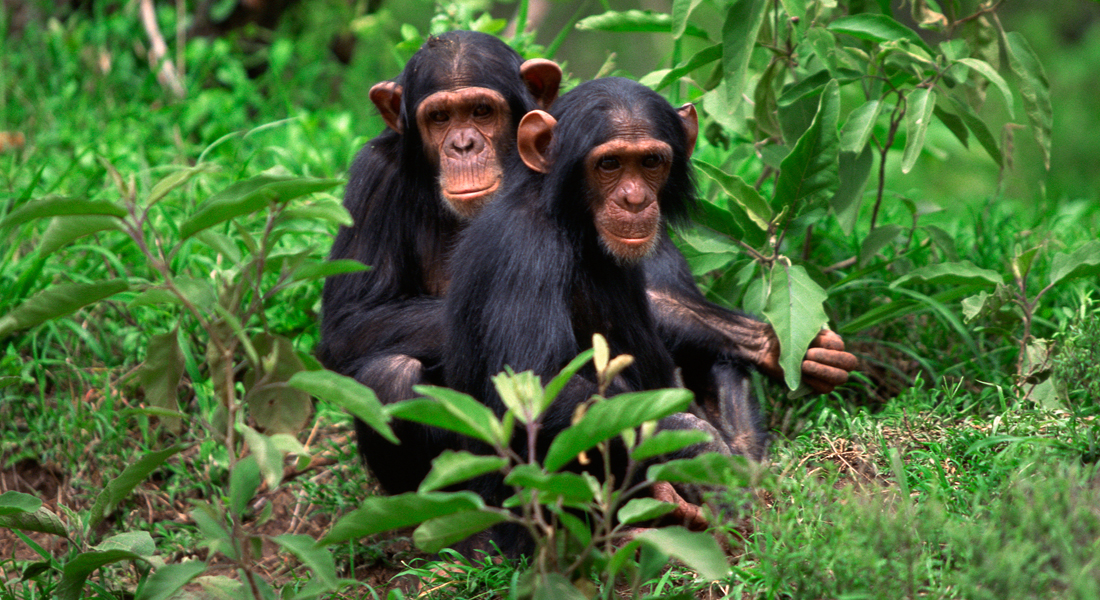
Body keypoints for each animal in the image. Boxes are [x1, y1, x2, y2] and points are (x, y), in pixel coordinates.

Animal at [316, 30, 558, 493]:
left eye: (481, 111)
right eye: (440, 117)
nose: (463, 145)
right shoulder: (373, 178)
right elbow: (349, 319)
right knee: (389, 376)